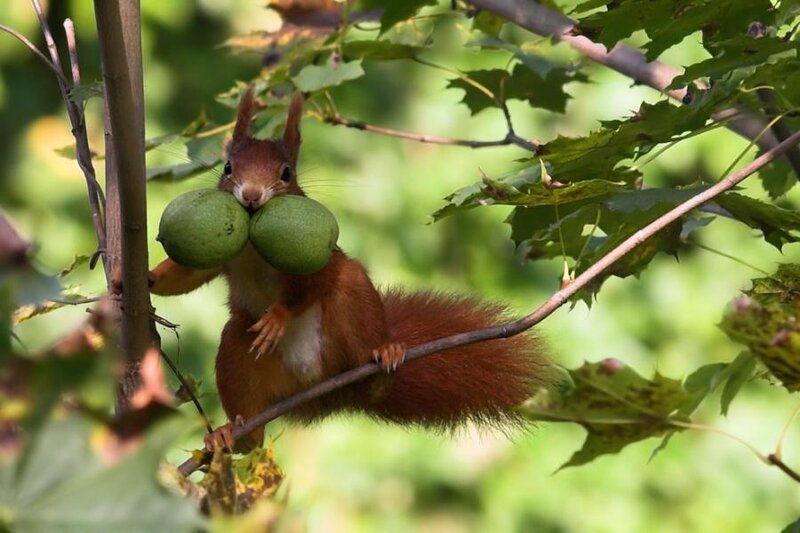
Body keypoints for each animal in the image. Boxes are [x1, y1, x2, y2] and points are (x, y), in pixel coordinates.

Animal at [149, 87, 551, 451]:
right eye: (229, 167)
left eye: (286, 173)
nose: (250, 197)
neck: (250, 240)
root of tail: (317, 387)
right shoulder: (221, 255)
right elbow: (189, 273)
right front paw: (145, 280)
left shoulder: (316, 262)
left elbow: (308, 285)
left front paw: (278, 316)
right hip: (238, 350)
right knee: (252, 431)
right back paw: (230, 434)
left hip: (351, 317)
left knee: (360, 343)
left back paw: (382, 362)